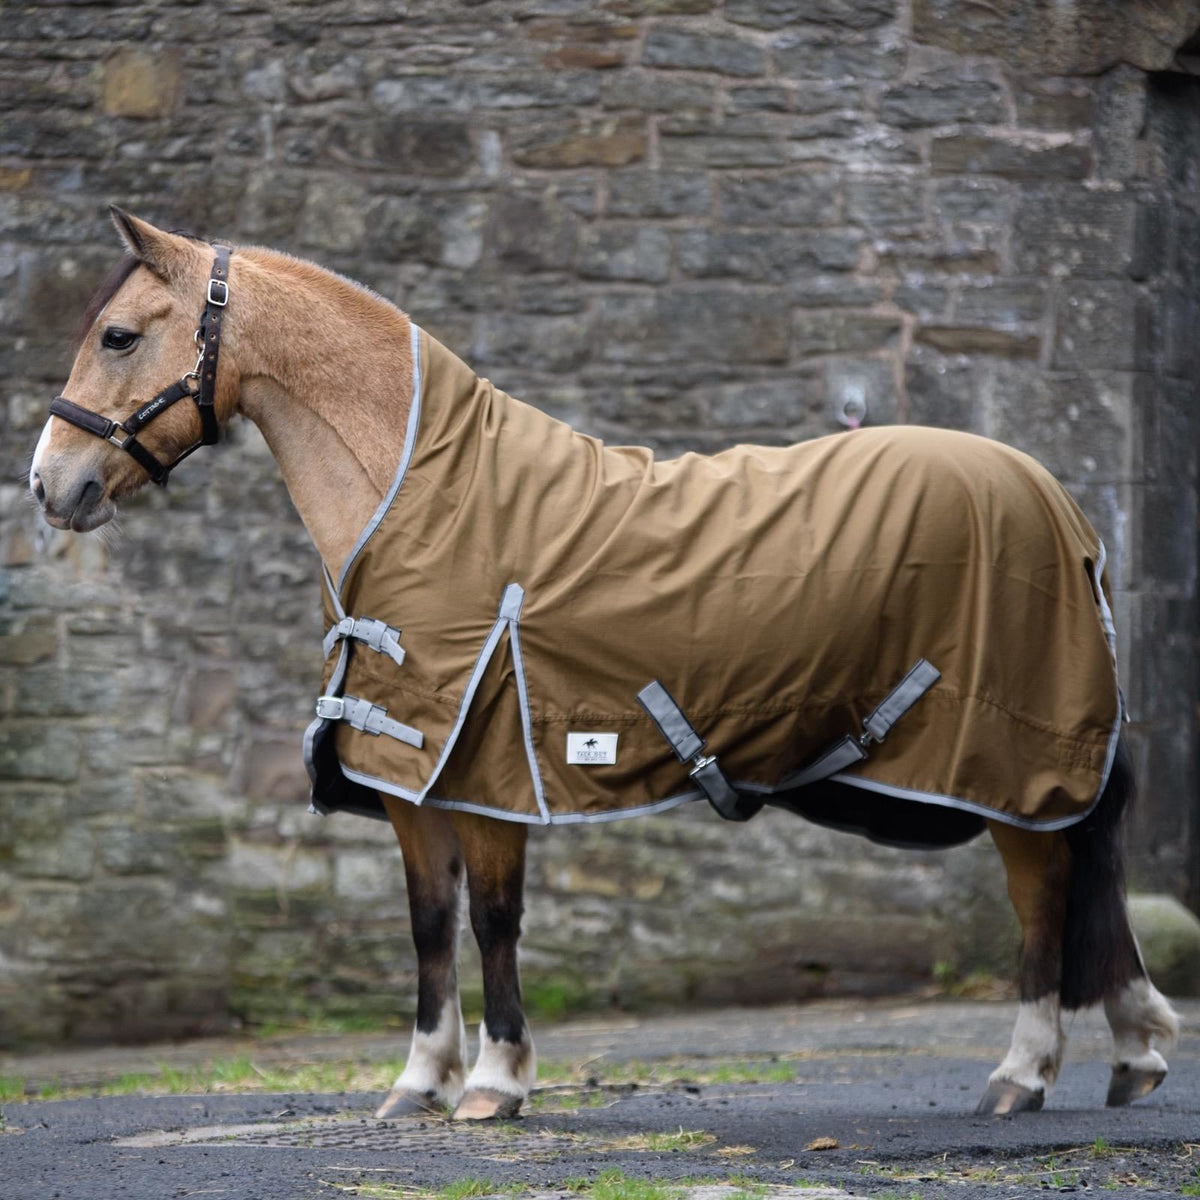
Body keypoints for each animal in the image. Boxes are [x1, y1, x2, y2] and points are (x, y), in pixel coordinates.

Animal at [29, 208, 1178, 1121]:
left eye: (119, 334)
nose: (49, 485)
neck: (419, 495)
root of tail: (1057, 499)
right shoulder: (410, 776)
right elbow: (429, 927)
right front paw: (421, 1081)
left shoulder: (489, 771)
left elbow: (493, 921)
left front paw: (496, 1084)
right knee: (1089, 868)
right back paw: (1131, 1048)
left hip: (1004, 761)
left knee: (1043, 892)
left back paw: (1024, 1073)